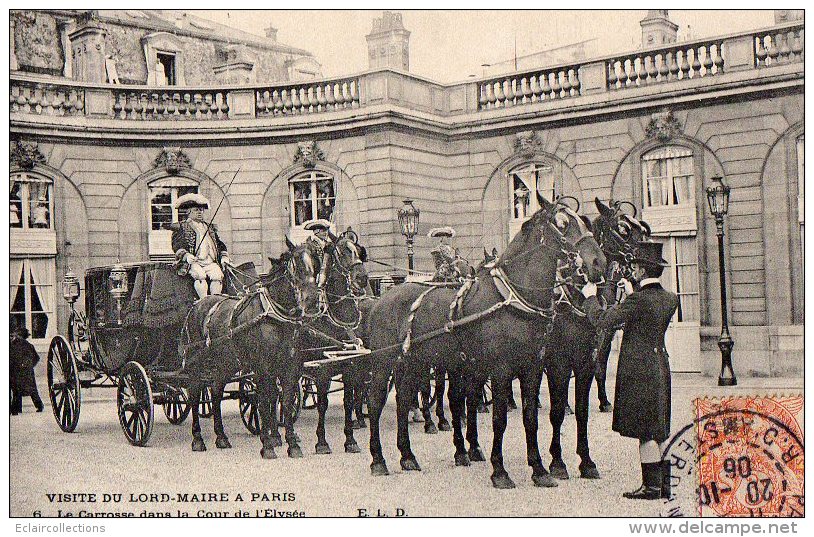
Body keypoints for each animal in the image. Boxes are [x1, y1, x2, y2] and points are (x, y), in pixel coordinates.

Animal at [182, 241, 322, 458]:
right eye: (296, 267)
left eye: (315, 265)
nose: (313, 300)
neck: (275, 316)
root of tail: (197, 305)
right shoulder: (262, 368)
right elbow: (263, 400)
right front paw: (268, 445)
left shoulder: (289, 367)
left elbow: (285, 401)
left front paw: (292, 444)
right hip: (197, 364)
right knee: (195, 394)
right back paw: (197, 439)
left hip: (225, 363)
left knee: (215, 391)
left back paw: (221, 437)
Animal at [368, 195, 604, 488]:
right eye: (561, 223)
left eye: (584, 222)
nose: (598, 263)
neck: (514, 298)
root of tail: (383, 298)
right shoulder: (505, 370)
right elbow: (499, 419)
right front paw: (500, 470)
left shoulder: (534, 368)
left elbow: (531, 417)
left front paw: (539, 469)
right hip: (383, 364)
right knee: (376, 403)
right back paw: (378, 459)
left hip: (413, 363)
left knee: (404, 401)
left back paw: (408, 455)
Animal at [544, 196, 652, 478]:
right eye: (623, 228)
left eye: (641, 228)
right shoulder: (557, 361)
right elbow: (556, 411)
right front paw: (557, 461)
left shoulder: (594, 350)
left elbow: (586, 405)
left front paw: (586, 460)